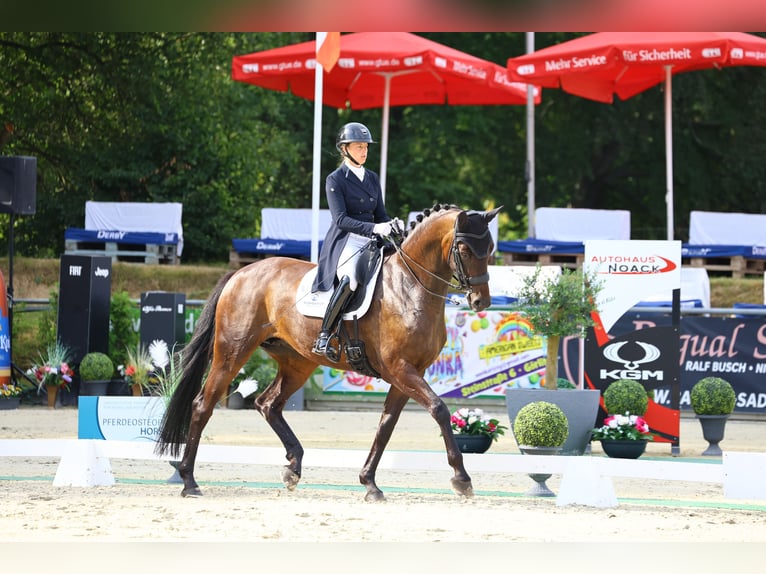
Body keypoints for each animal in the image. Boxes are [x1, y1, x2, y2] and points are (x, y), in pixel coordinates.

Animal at [157, 205, 504, 502]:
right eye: (464, 249)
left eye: (490, 249)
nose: (481, 302)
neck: (410, 287)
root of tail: (241, 273)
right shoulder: (400, 369)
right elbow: (439, 410)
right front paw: (462, 479)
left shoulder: (409, 373)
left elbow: (386, 426)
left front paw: (369, 483)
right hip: (232, 352)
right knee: (203, 405)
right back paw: (188, 481)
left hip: (297, 362)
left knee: (268, 404)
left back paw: (293, 468)